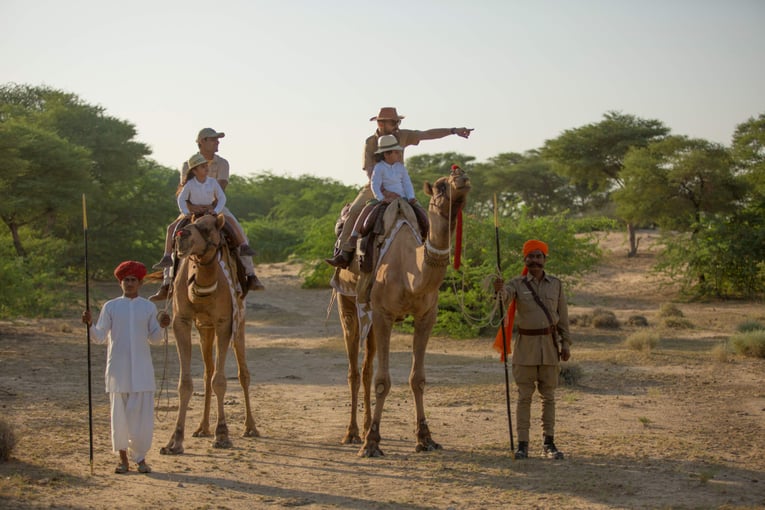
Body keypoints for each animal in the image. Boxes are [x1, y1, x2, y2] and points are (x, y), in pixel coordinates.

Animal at [160, 212, 258, 454]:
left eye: (207, 229)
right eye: (192, 223)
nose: (181, 236)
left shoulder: (225, 323)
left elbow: (220, 381)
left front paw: (222, 434)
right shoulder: (181, 322)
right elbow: (186, 383)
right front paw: (175, 440)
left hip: (239, 322)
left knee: (243, 373)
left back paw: (250, 428)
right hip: (205, 328)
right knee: (207, 372)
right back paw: (202, 428)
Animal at [332, 169, 468, 456]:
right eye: (440, 186)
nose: (461, 178)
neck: (410, 270)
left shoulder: (426, 316)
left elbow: (418, 378)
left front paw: (425, 438)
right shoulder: (384, 315)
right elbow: (383, 380)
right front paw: (372, 443)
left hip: (370, 315)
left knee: (365, 368)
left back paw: (364, 428)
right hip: (346, 300)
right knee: (353, 369)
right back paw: (352, 434)